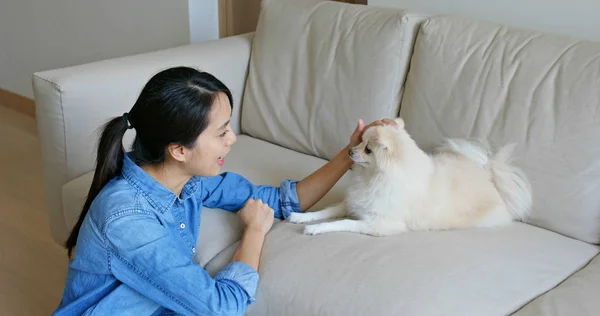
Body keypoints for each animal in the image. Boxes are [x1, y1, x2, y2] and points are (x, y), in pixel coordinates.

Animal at [288, 117, 532, 236]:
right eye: (359, 141)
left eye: (368, 149)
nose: (349, 152)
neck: (373, 177)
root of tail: (488, 175)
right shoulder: (355, 201)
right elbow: (327, 211)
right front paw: (301, 217)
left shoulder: (380, 223)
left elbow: (343, 222)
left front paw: (316, 229)